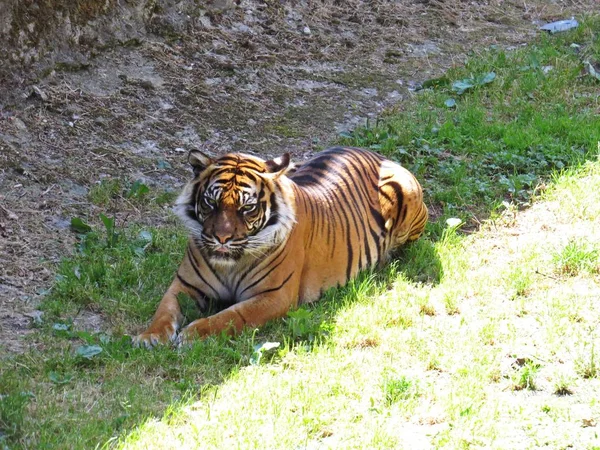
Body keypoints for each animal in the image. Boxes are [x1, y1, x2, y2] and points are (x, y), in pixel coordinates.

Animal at [134, 146, 428, 346]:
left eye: (247, 208)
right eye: (210, 202)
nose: (221, 238)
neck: (231, 264)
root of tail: (377, 155)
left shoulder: (274, 295)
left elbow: (230, 316)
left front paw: (193, 333)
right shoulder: (184, 284)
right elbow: (165, 310)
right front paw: (149, 336)